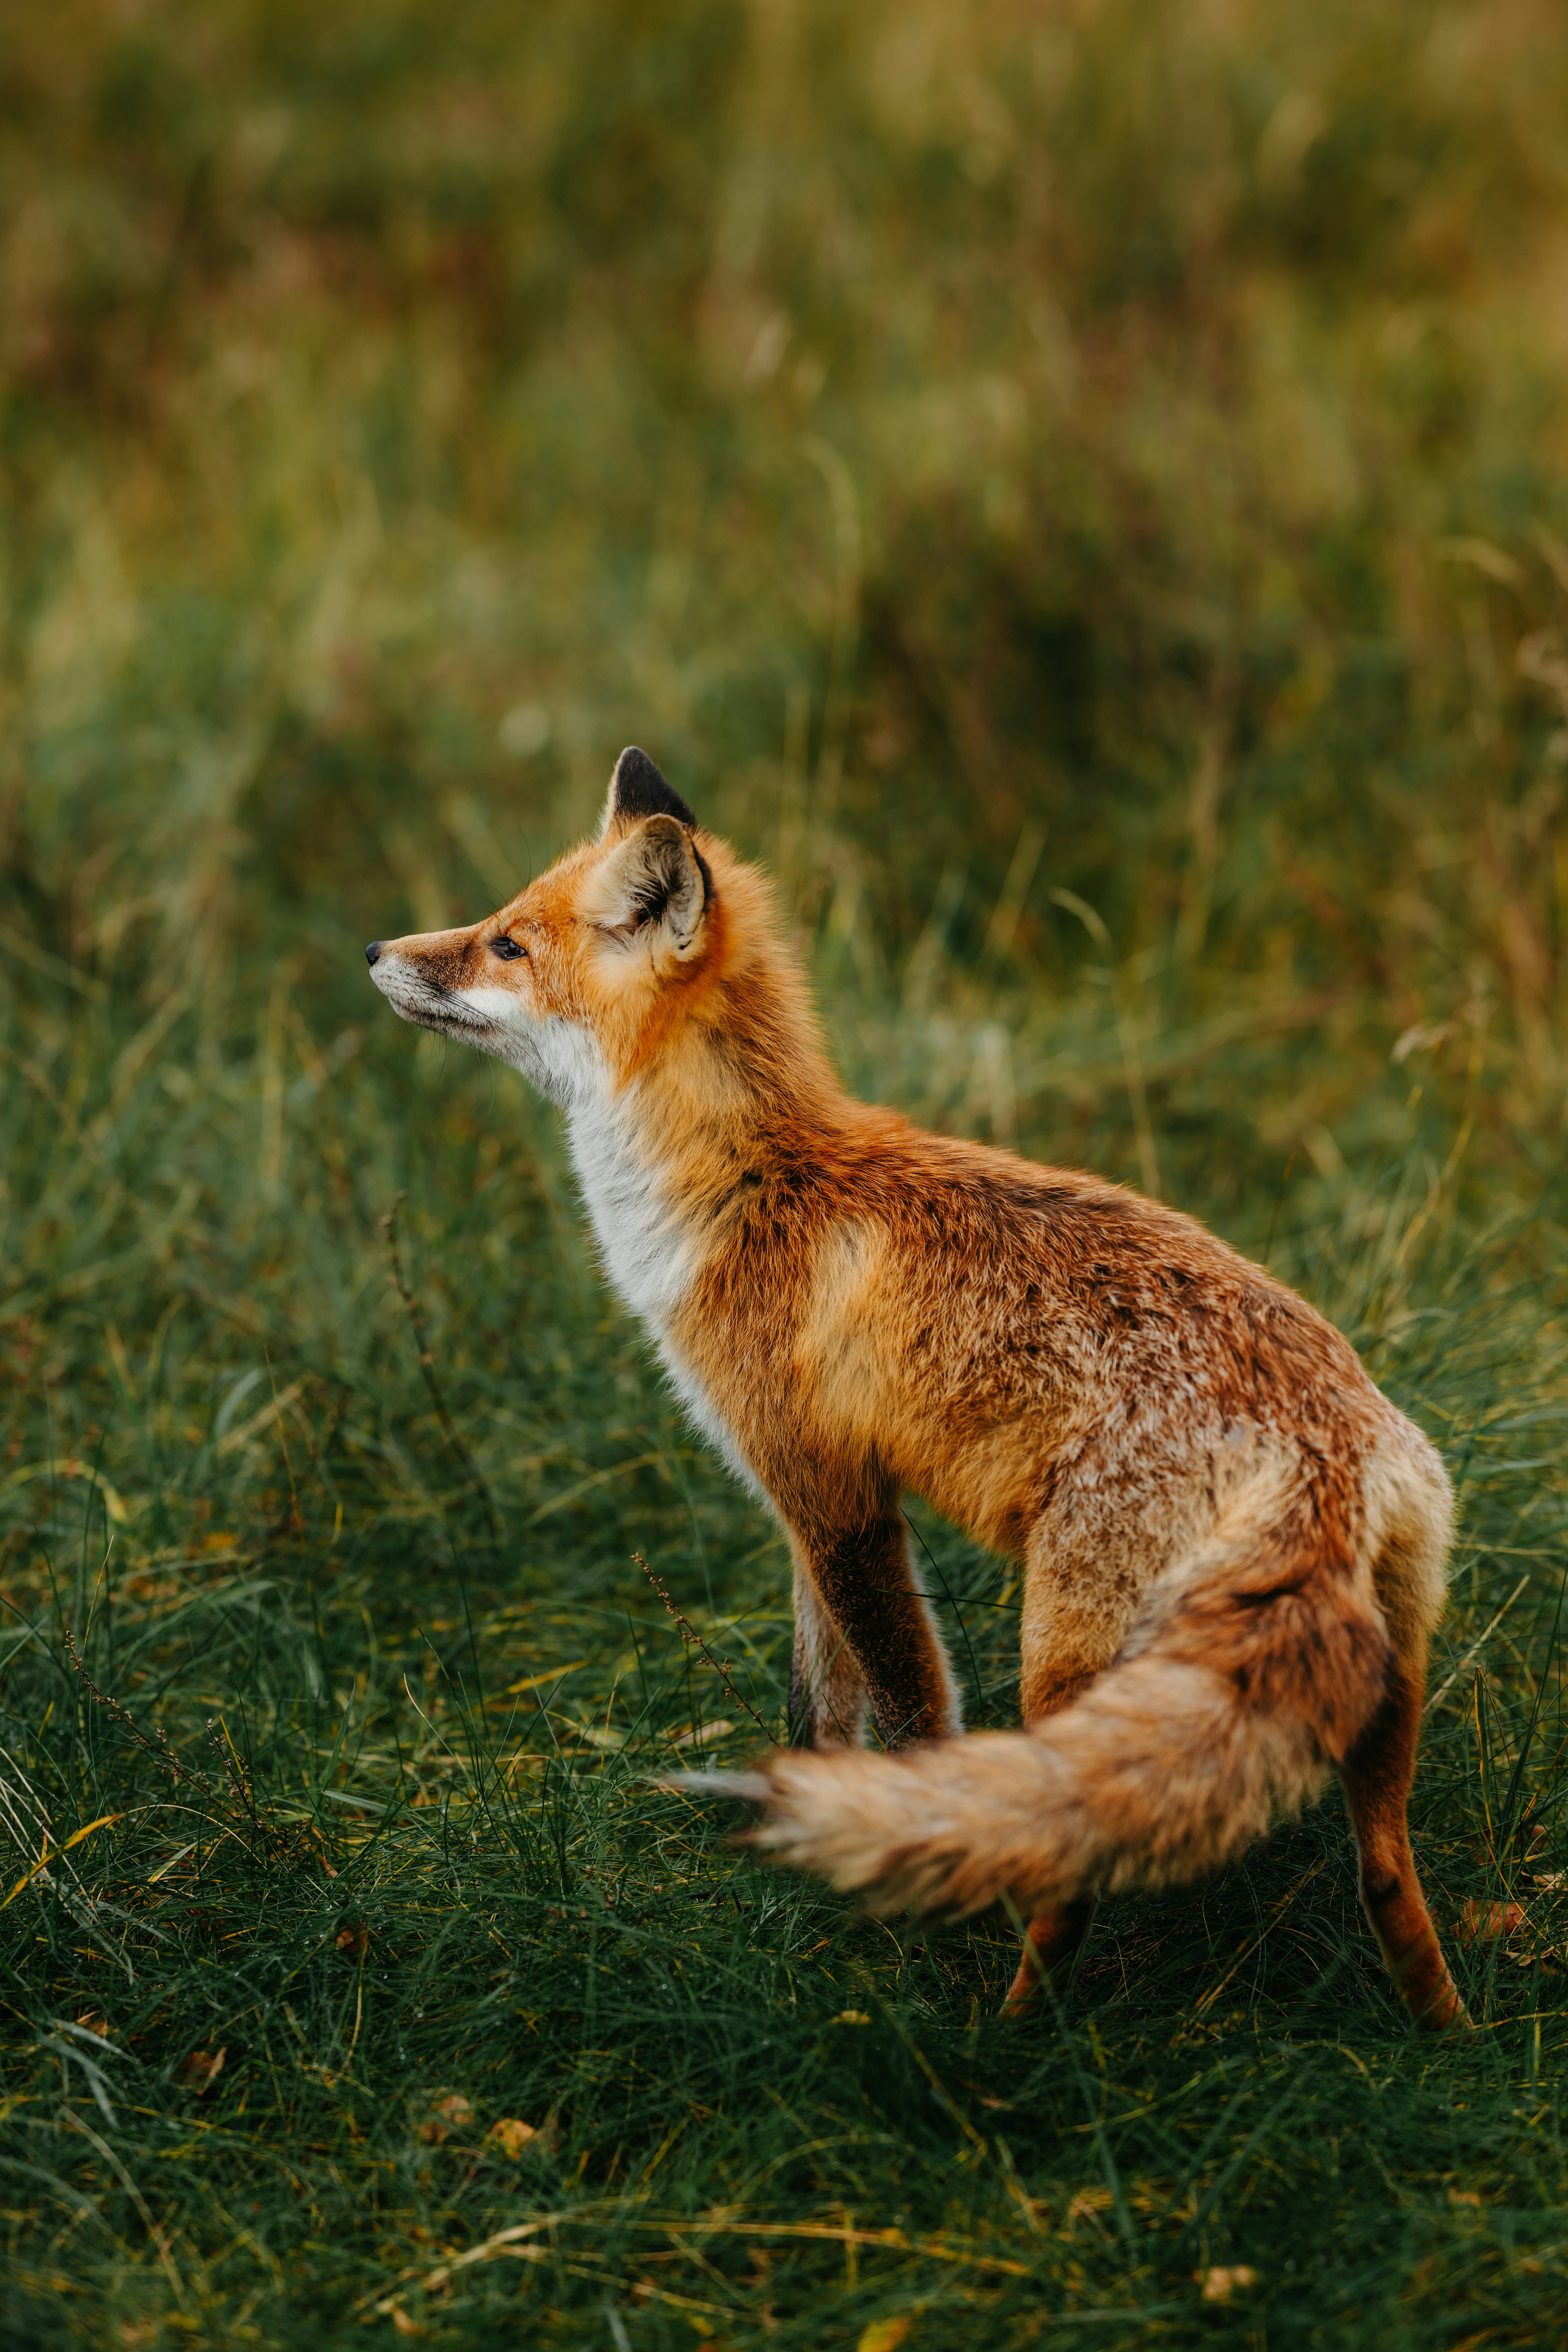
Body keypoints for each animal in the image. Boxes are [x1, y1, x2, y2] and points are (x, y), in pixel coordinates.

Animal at [365, 745, 1467, 2031]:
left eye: (505, 944)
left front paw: (896, 1879)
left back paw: (1009, 2029)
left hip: (1065, 1657)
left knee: (1069, 1848)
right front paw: (793, 1854)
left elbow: (907, 1711)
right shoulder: (801, 1509)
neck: (750, 1183)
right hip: (1382, 1682)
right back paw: (1442, 2036)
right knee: (1385, 1869)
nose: (375, 950)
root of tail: (1322, 1449)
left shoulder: (835, 1502)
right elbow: (814, 1704)